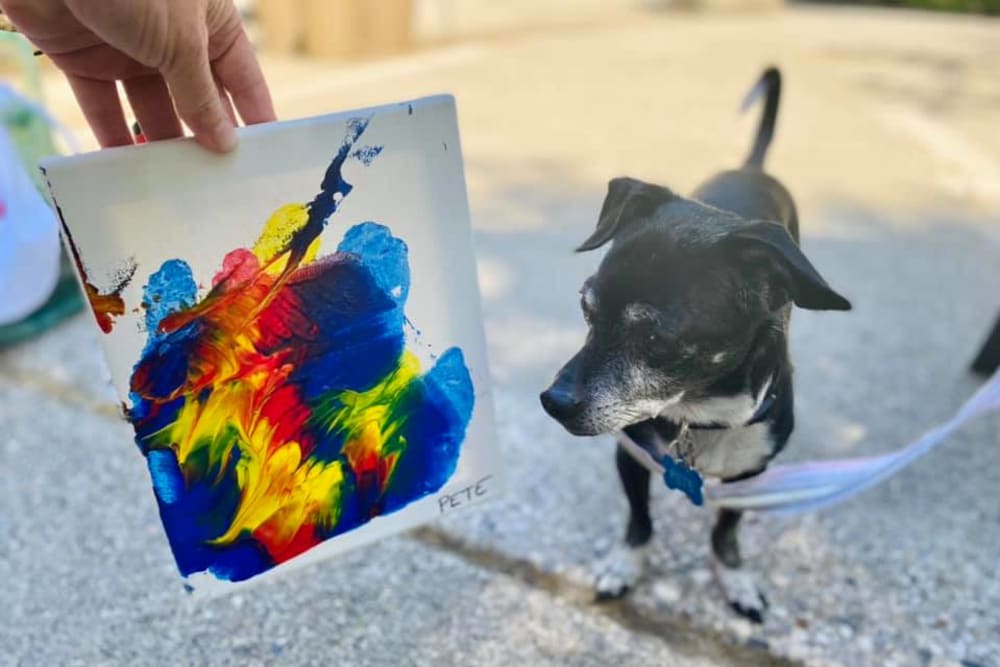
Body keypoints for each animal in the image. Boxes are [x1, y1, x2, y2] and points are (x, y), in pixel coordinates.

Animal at [544, 68, 848, 620]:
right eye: (585, 308)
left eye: (654, 336)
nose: (551, 402)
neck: (700, 414)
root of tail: (751, 169)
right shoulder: (631, 456)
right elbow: (640, 520)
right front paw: (625, 565)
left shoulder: (751, 477)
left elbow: (725, 531)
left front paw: (735, 577)